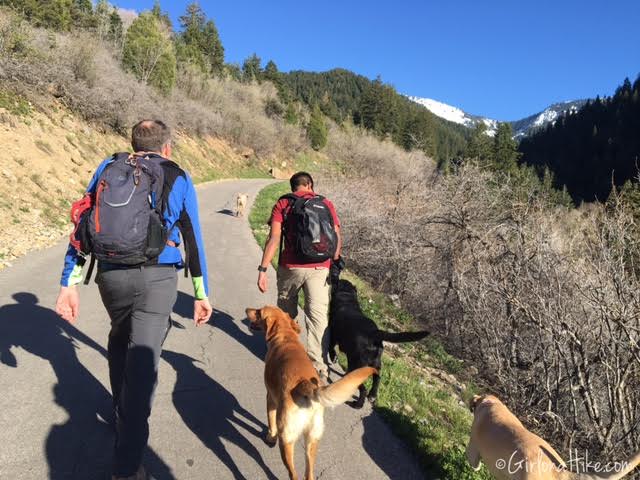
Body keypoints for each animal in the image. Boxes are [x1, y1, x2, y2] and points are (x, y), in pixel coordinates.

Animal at [245, 308, 376, 480]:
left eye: (259, 312)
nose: (247, 310)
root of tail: (305, 386)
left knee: (293, 473)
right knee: (309, 474)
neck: (286, 336)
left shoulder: (270, 398)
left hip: (286, 439)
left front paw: (270, 438)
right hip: (312, 442)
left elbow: (270, 423)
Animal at [330, 278, 430, 408]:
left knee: (363, 388)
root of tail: (373, 333)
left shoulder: (332, 334)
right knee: (377, 378)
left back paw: (358, 404)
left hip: (357, 364)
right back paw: (372, 395)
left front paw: (333, 358)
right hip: (376, 364)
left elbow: (330, 348)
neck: (347, 298)